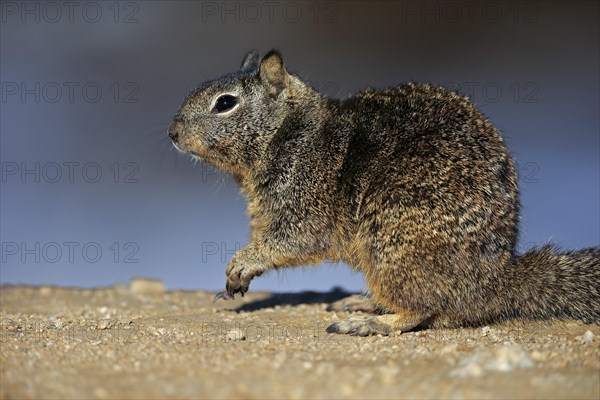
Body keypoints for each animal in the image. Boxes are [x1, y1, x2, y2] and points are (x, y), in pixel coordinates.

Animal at [168, 50, 600, 338]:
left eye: (225, 103)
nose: (172, 133)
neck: (290, 132)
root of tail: (498, 281)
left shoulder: (303, 199)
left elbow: (295, 240)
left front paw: (243, 263)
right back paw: (361, 302)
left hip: (391, 242)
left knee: (424, 311)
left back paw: (368, 321)